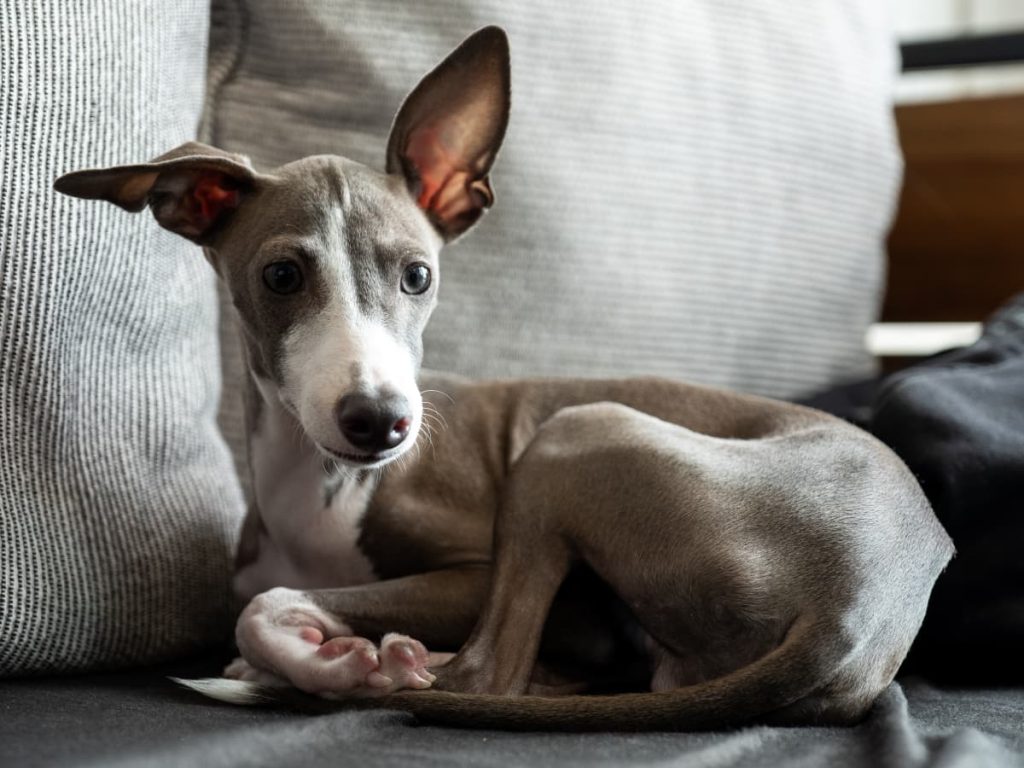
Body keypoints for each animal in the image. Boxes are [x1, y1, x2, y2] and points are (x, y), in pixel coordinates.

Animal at [56, 27, 950, 729]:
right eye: (281, 276)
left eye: (417, 276)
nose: (380, 421)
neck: (317, 493)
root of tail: (851, 611)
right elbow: (263, 603)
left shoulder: (481, 575)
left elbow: (264, 609)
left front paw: (336, 659)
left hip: (576, 431)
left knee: (486, 672)